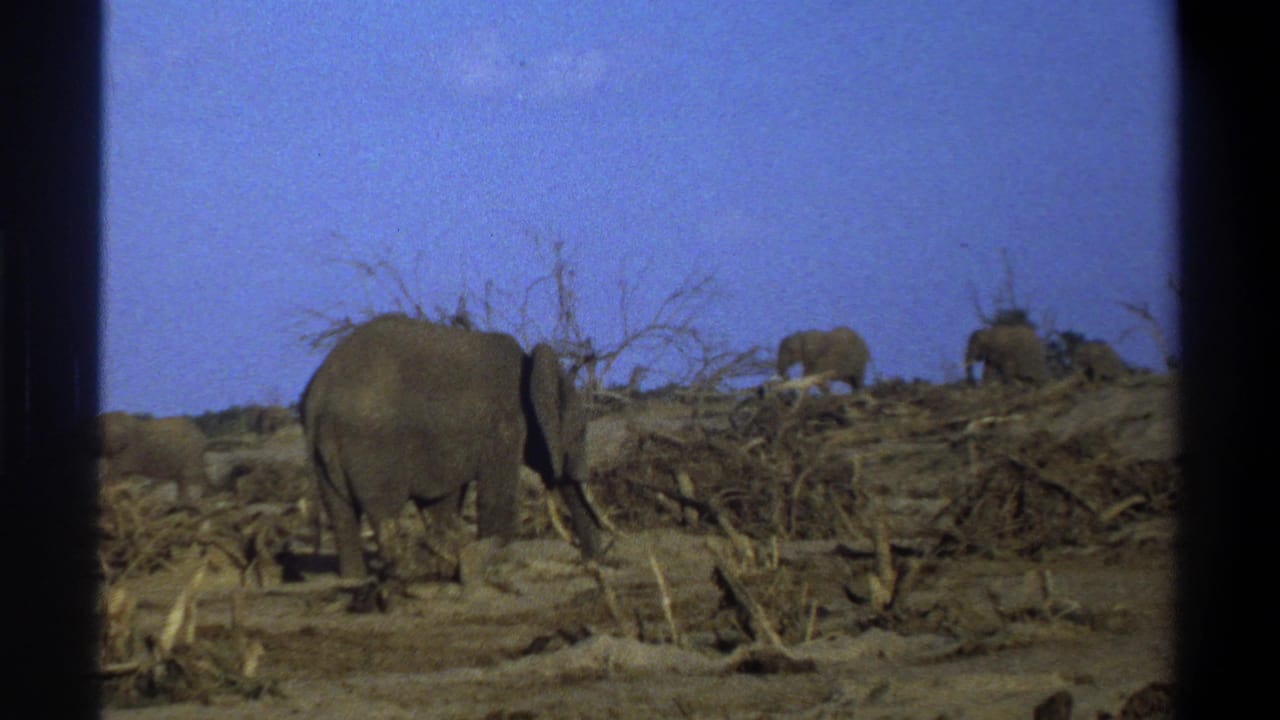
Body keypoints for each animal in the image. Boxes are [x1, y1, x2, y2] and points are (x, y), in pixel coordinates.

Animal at [300, 314, 602, 580]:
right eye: (580, 433)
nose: (593, 562)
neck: (533, 367)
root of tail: (318, 396)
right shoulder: (504, 425)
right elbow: (495, 496)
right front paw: (489, 556)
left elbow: (443, 502)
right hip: (370, 446)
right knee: (385, 513)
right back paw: (407, 571)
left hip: (322, 452)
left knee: (341, 516)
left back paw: (355, 578)